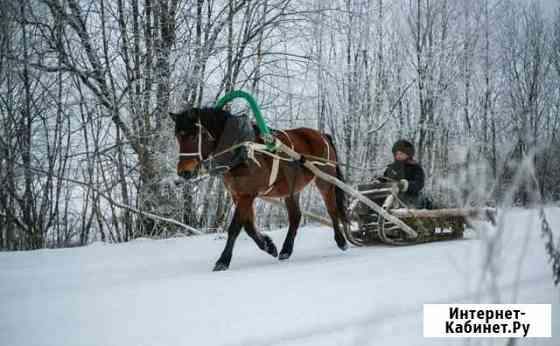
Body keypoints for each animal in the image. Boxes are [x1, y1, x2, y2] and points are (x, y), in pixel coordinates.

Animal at [168, 107, 348, 270]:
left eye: (194, 135)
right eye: (177, 136)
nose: (184, 172)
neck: (242, 151)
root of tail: (321, 134)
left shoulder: (247, 195)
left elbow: (234, 228)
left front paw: (223, 261)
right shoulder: (238, 195)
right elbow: (248, 226)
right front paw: (269, 246)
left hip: (324, 181)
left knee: (332, 210)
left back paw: (341, 241)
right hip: (291, 189)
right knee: (295, 216)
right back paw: (285, 250)